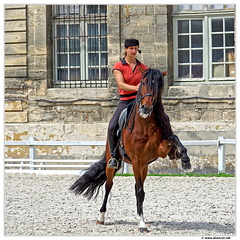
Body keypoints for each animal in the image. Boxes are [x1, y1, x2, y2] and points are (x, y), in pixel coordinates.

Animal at [70, 68, 191, 232]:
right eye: (143, 83)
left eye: (159, 86)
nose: (146, 108)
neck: (145, 124)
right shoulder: (136, 161)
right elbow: (139, 191)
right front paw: (141, 224)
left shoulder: (159, 151)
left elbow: (174, 138)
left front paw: (185, 160)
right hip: (113, 162)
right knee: (109, 185)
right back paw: (101, 217)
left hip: (144, 167)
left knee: (136, 187)